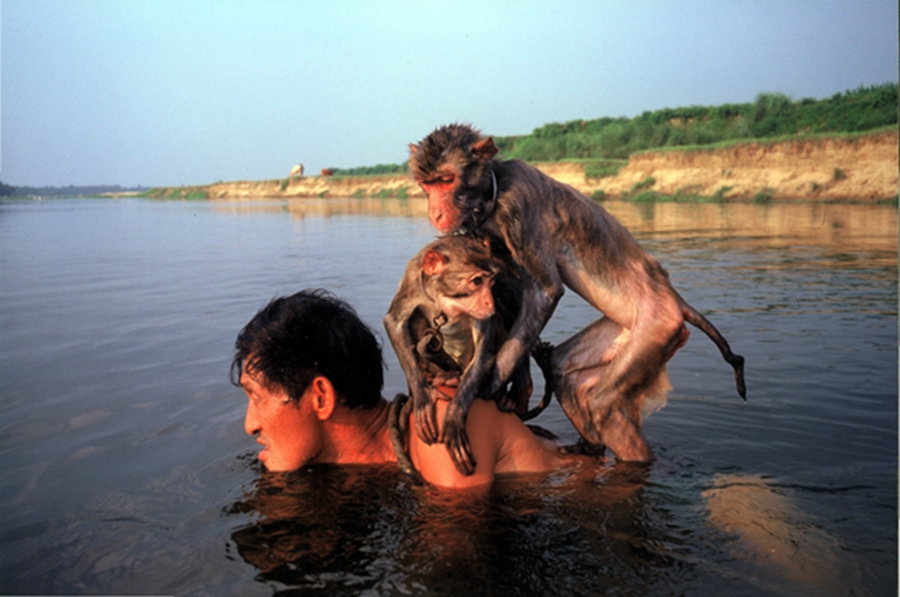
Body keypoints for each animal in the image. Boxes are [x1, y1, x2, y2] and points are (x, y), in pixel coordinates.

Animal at [384, 235, 532, 472]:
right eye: (476, 282)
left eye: (491, 282)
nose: (490, 302)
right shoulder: (412, 280)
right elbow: (395, 322)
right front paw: (422, 397)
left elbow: (484, 351)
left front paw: (454, 417)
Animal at [410, 123, 744, 464]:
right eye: (428, 184)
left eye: (446, 180)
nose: (435, 213)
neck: (494, 192)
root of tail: (675, 300)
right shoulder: (478, 233)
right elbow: (509, 288)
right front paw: (518, 385)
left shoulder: (519, 204)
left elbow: (544, 290)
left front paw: (484, 386)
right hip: (631, 330)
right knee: (563, 370)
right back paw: (589, 446)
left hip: (658, 326)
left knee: (603, 406)